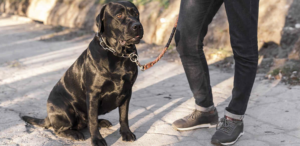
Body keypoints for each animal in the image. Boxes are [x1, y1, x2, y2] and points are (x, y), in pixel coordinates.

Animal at [21, 1, 143, 146]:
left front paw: (126, 133)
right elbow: (93, 120)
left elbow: (123, 116)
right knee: (60, 129)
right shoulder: (93, 94)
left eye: (136, 14)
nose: (137, 25)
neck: (118, 55)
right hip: (65, 110)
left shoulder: (127, 91)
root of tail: (48, 116)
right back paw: (74, 133)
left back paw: (102, 122)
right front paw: (97, 139)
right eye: (119, 15)